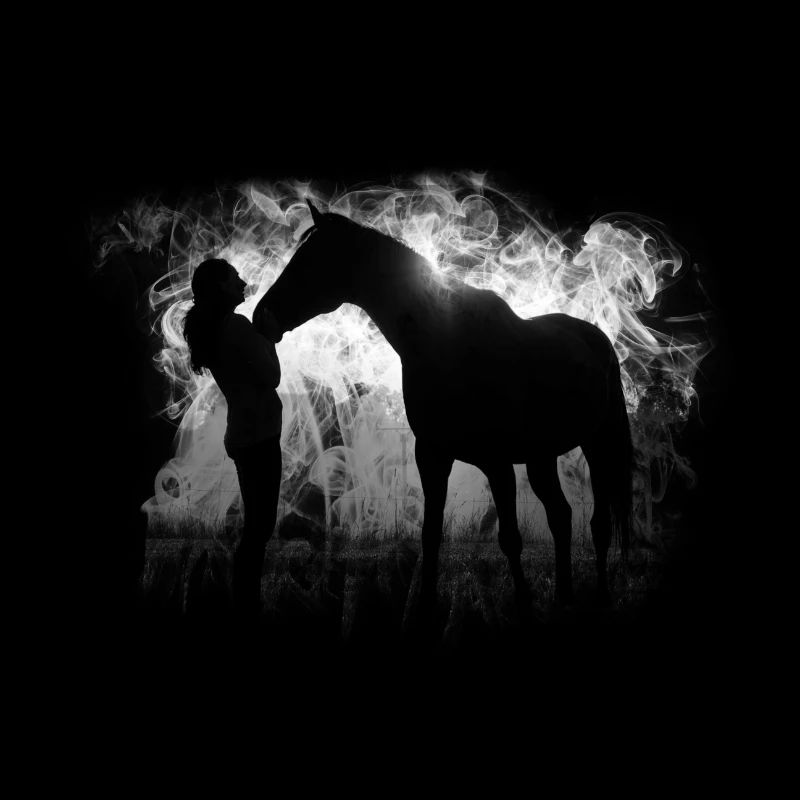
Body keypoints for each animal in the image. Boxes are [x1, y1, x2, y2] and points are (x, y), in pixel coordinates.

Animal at [254, 200, 633, 611]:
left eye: (311, 259)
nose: (261, 317)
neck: (445, 341)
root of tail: (596, 338)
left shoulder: (496, 461)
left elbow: (510, 539)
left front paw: (523, 603)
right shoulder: (432, 455)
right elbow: (431, 533)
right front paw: (426, 604)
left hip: (598, 445)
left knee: (598, 525)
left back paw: (600, 595)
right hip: (540, 457)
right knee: (560, 517)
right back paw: (564, 596)